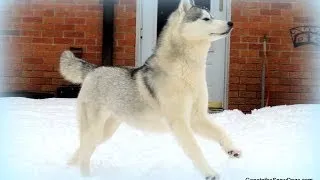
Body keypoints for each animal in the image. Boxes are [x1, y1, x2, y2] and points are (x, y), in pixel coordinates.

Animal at [59, 0, 240, 179]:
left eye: (212, 16)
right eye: (206, 19)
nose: (231, 23)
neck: (186, 71)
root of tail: (94, 69)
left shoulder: (196, 118)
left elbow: (221, 132)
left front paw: (232, 150)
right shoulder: (179, 122)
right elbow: (195, 148)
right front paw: (209, 173)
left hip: (105, 132)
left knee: (82, 150)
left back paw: (69, 166)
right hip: (94, 129)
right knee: (84, 154)